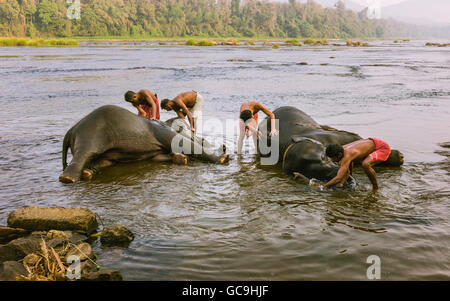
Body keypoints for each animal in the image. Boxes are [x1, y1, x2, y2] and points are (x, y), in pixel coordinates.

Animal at [58, 104, 229, 182]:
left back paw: (88, 173)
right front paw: (223, 158)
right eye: (203, 140)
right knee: (84, 154)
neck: (166, 123)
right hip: (91, 135)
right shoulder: (162, 131)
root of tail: (71, 131)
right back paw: (68, 178)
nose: (223, 146)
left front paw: (182, 159)